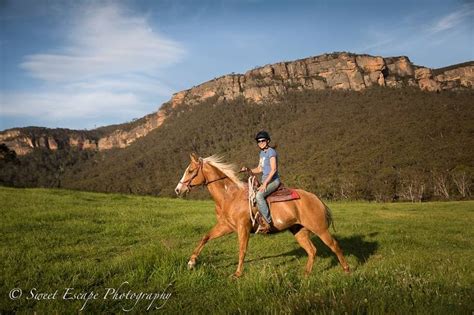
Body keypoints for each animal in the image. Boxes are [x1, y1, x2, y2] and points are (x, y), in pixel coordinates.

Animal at [174, 154, 348, 278]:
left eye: (190, 171)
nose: (178, 189)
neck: (230, 196)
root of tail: (316, 198)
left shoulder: (243, 228)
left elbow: (242, 249)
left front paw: (237, 273)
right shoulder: (226, 226)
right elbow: (205, 237)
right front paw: (191, 262)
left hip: (320, 229)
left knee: (334, 245)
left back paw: (346, 270)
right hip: (299, 230)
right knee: (312, 250)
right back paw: (306, 274)